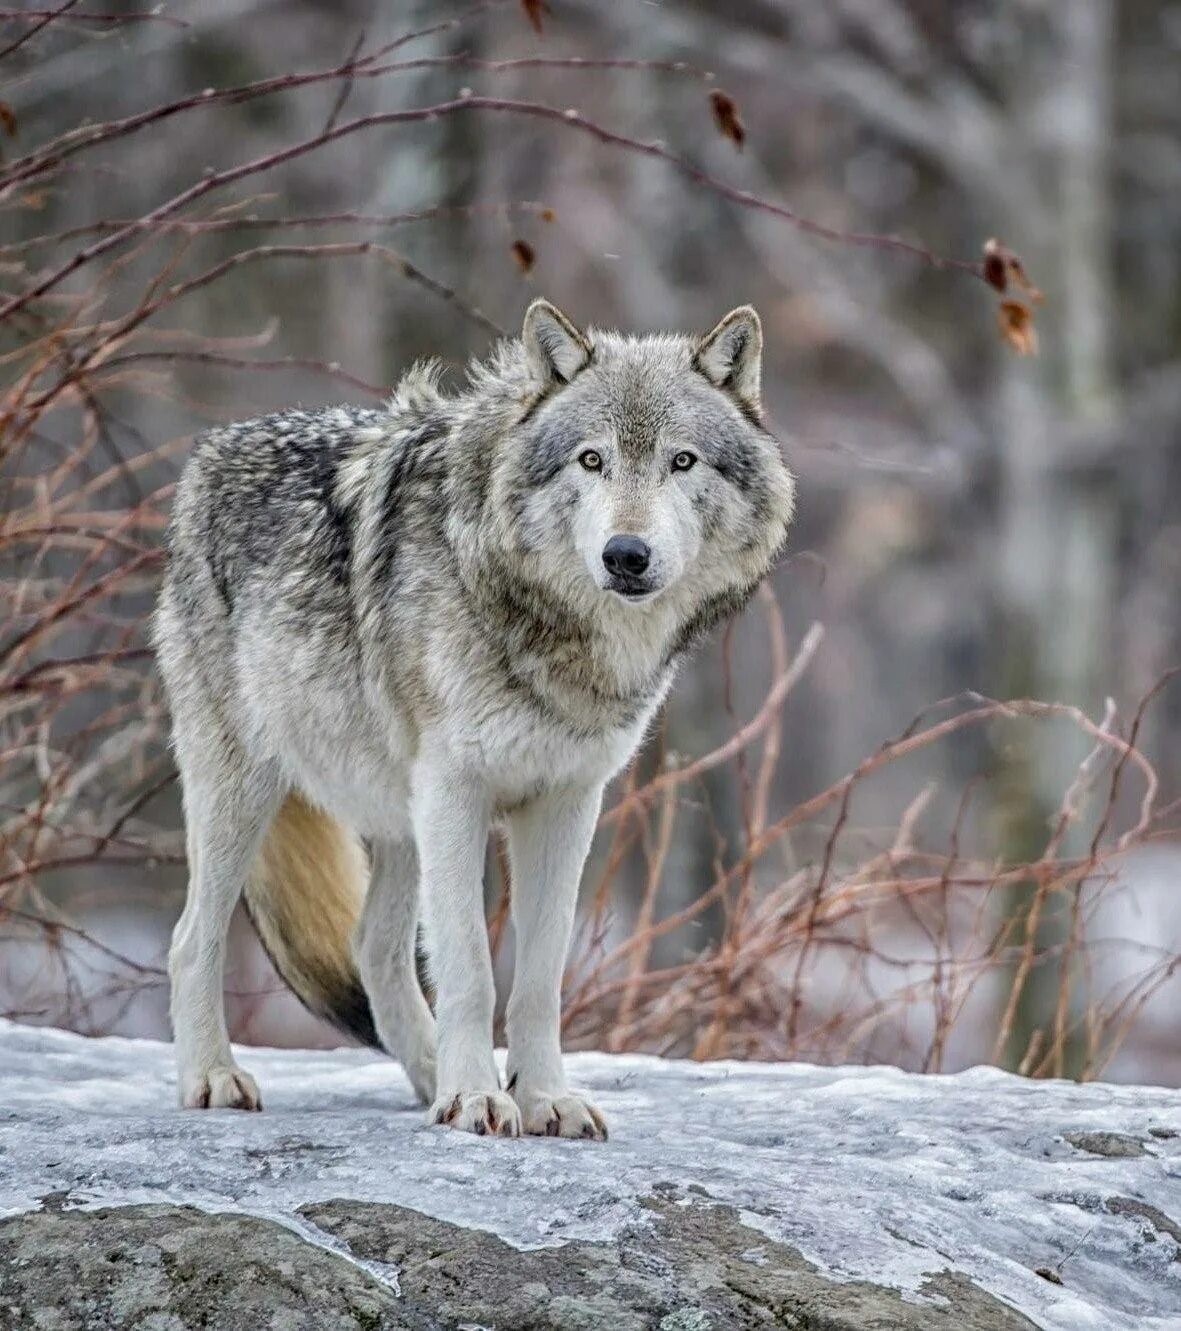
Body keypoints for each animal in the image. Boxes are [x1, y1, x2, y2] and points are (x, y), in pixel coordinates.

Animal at [149, 299, 793, 1134]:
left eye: (682, 461)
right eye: (591, 460)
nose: (626, 554)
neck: (554, 638)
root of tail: (212, 448)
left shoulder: (565, 802)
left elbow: (537, 979)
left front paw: (541, 1097)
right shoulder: (457, 793)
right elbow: (471, 972)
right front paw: (476, 1095)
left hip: (398, 819)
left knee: (372, 948)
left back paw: (425, 1076)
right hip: (248, 792)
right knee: (191, 938)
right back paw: (214, 1077)